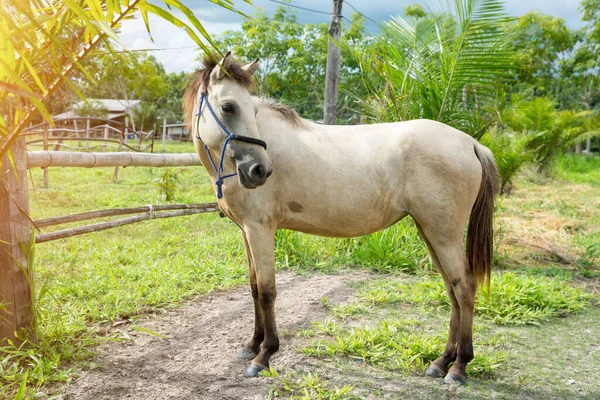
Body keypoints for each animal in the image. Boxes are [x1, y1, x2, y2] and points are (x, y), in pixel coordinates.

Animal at [184, 51, 502, 386]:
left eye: (246, 107)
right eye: (229, 107)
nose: (260, 170)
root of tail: (470, 143)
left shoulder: (260, 230)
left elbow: (268, 291)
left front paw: (264, 355)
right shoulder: (245, 231)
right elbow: (255, 286)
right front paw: (252, 345)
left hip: (444, 234)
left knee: (464, 287)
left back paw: (459, 367)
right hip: (431, 232)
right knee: (452, 289)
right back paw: (441, 362)